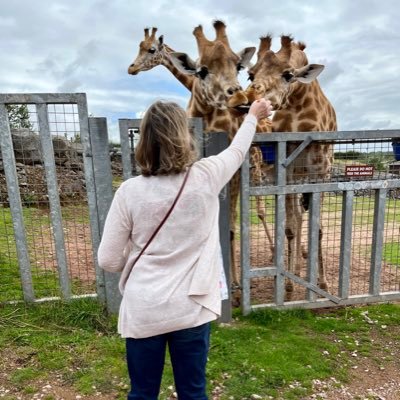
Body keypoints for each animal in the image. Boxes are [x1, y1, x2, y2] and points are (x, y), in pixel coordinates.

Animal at [233, 35, 336, 296]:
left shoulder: (319, 169)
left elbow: (318, 228)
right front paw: (288, 286)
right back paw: (297, 268)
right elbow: (289, 226)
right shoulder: (286, 169)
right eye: (250, 75)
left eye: (288, 75)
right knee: (298, 217)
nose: (247, 101)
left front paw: (322, 285)